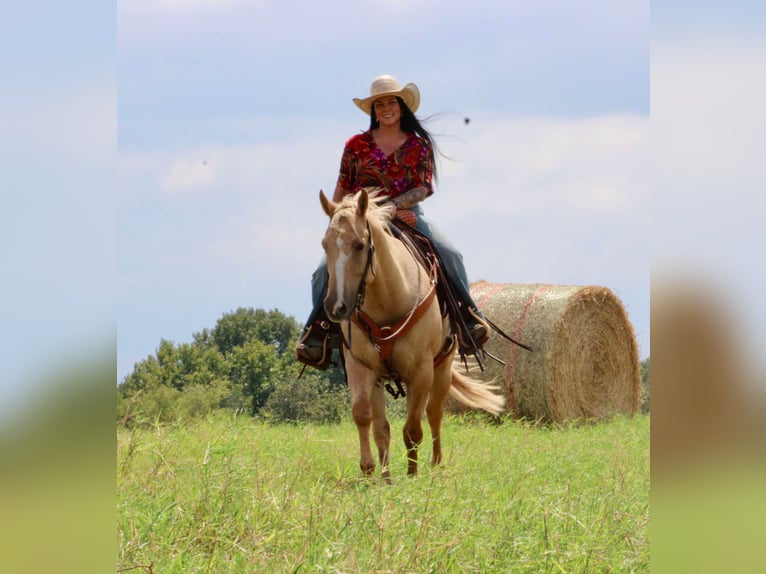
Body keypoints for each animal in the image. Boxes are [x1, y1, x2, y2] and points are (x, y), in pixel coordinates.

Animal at [320, 189, 508, 482]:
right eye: (324, 246)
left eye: (360, 245)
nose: (336, 306)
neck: (387, 299)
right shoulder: (359, 366)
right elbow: (364, 416)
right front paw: (371, 472)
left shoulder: (421, 371)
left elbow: (412, 428)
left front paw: (411, 476)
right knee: (382, 426)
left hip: (442, 369)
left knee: (434, 414)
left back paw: (436, 464)